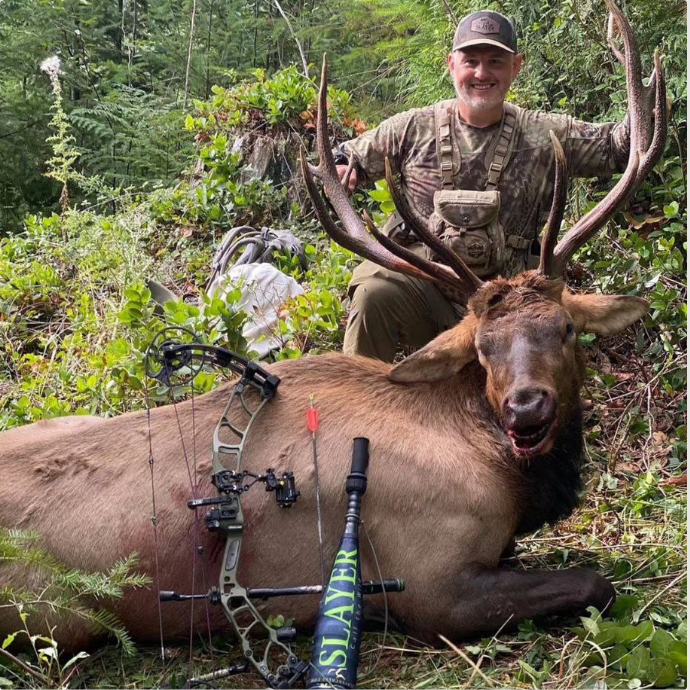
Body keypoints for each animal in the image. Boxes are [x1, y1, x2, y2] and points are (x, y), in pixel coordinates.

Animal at [0, 0, 666, 656]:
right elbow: (596, 582)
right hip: (58, 619)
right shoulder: (435, 586)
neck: (505, 474)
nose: (527, 410)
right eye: (482, 348)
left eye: (566, 329)